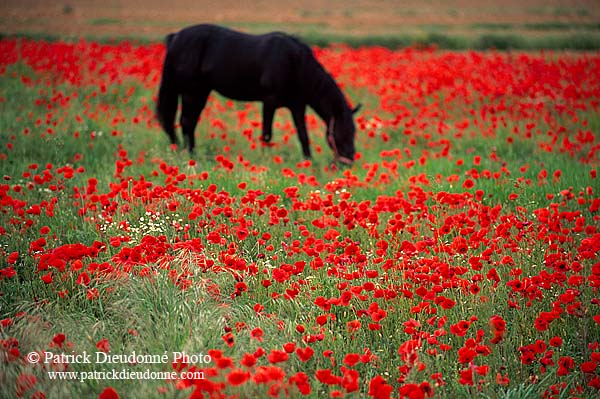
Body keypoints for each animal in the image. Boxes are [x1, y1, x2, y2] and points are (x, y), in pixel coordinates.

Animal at [156, 24, 360, 165]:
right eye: (342, 131)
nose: (348, 162)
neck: (294, 63)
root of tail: (175, 38)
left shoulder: (297, 106)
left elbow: (303, 135)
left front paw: (309, 163)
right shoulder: (269, 101)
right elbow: (267, 134)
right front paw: (265, 160)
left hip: (200, 92)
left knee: (187, 123)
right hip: (190, 92)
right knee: (184, 122)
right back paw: (188, 154)